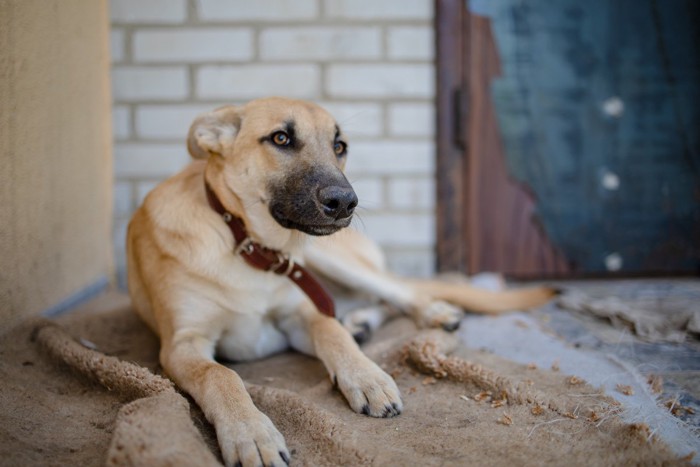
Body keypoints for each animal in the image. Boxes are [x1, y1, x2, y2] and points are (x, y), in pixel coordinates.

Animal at [124, 97, 552, 466]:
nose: (346, 203)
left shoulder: (303, 312)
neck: (248, 244)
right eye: (281, 138)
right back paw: (361, 322)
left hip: (330, 257)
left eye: (339, 145)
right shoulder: (181, 345)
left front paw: (366, 376)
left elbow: (332, 333)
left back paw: (431, 312)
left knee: (398, 290)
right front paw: (250, 433)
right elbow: (220, 375)